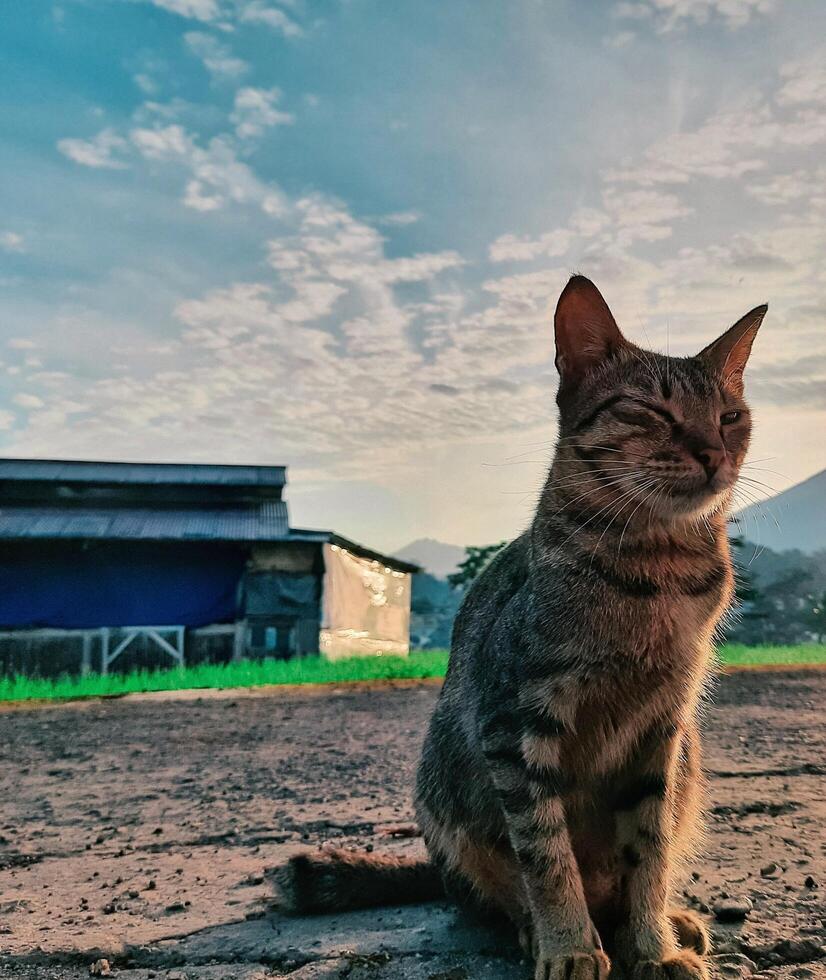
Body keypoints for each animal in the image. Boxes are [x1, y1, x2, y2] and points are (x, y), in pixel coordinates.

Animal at [276, 276, 768, 980]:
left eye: (730, 417)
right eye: (650, 413)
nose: (714, 452)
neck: (658, 568)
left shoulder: (664, 730)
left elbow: (649, 852)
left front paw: (651, 944)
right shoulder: (515, 720)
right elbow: (546, 854)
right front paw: (568, 945)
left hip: (689, 760)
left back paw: (667, 922)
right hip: (445, 786)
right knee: (496, 892)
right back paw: (537, 931)